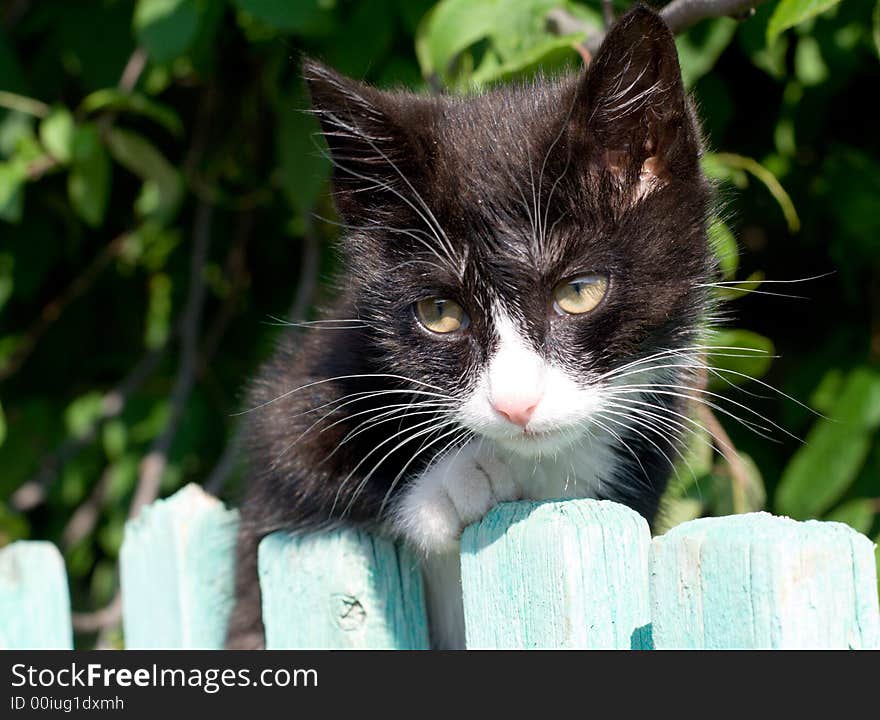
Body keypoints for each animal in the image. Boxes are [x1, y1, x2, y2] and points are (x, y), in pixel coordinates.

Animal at [225, 5, 716, 648]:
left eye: (578, 293)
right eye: (440, 313)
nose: (515, 403)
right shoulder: (302, 391)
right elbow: (293, 483)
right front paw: (461, 478)